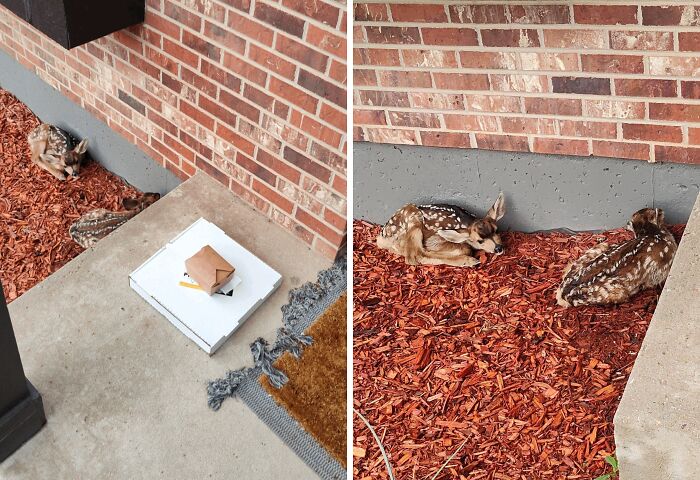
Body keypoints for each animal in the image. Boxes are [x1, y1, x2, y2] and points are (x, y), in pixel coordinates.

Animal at [376, 193, 506, 267]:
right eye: (480, 241)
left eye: (497, 230)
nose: (498, 248)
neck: (465, 222)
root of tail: (382, 237)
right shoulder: (434, 240)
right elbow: (465, 248)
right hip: (412, 217)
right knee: (415, 256)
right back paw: (469, 261)